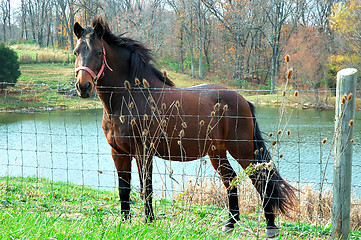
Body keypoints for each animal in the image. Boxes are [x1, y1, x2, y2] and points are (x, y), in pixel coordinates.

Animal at [73, 15, 296, 237]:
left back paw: (270, 227)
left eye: (99, 52)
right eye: (76, 51)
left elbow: (147, 188)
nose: (83, 86)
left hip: (243, 150)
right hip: (217, 152)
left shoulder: (143, 153)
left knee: (260, 179)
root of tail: (243, 100)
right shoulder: (119, 153)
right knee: (230, 179)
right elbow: (124, 189)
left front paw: (148, 221)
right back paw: (230, 223)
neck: (132, 96)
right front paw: (125, 222)